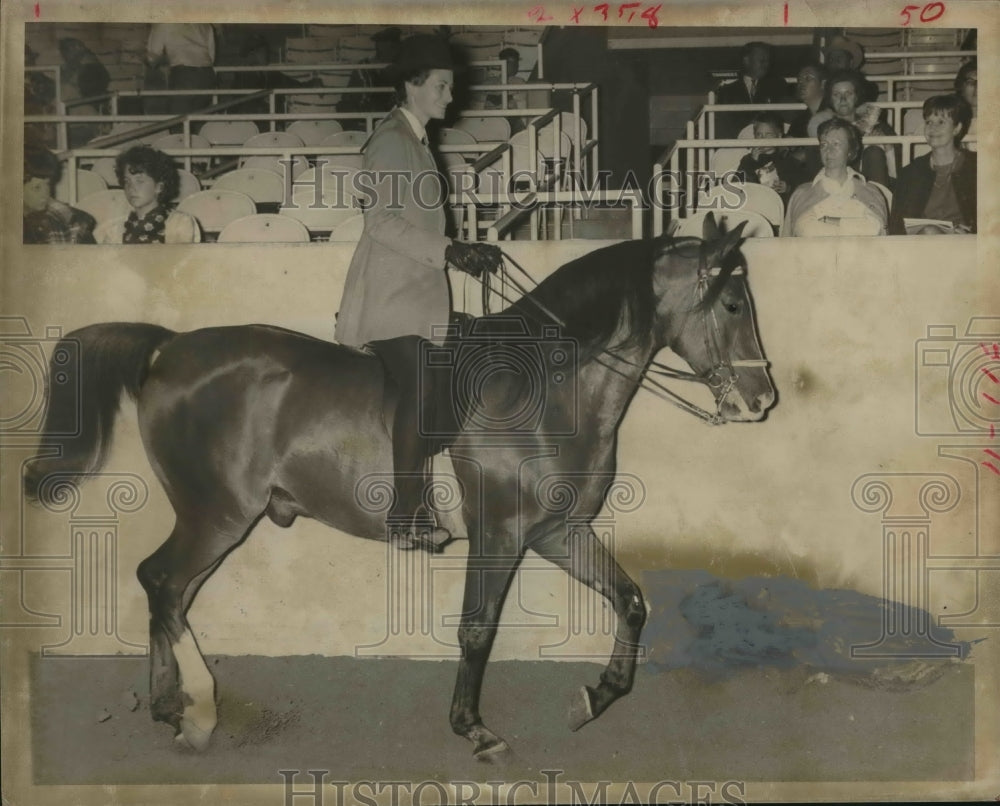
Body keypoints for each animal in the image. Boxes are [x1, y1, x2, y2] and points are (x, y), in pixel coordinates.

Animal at [21, 218, 772, 760]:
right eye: (734, 303)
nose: (763, 399)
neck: (548, 387)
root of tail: (168, 347)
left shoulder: (559, 532)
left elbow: (631, 601)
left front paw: (597, 695)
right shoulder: (500, 533)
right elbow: (477, 628)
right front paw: (473, 728)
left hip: (218, 518)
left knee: (168, 590)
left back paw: (168, 707)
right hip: (218, 515)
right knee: (164, 582)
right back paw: (200, 708)